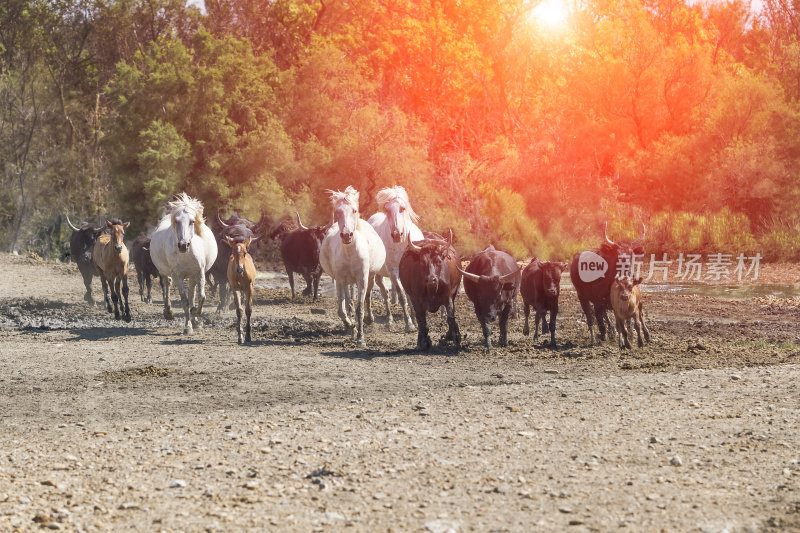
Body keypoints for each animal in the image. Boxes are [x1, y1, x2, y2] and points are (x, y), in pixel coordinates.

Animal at [150, 191, 217, 332]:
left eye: (192, 221)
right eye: (176, 221)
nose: (183, 245)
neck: (186, 255)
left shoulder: (200, 273)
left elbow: (201, 296)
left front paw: (195, 313)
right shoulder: (177, 276)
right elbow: (184, 300)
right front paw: (187, 326)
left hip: (192, 276)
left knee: (192, 294)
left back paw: (195, 319)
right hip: (164, 272)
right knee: (167, 285)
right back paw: (168, 313)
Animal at [322, 185, 390, 348]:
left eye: (354, 210)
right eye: (338, 211)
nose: (347, 235)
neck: (350, 253)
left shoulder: (362, 279)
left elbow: (360, 308)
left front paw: (361, 338)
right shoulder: (340, 280)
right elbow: (342, 309)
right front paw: (350, 325)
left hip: (370, 277)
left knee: (368, 296)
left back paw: (369, 320)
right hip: (346, 282)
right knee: (348, 303)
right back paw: (351, 328)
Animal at [368, 185, 424, 330]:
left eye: (402, 208)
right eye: (387, 209)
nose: (397, 235)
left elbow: (410, 295)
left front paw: (415, 320)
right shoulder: (394, 272)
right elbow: (402, 296)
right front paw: (409, 324)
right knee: (375, 292)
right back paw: (380, 319)